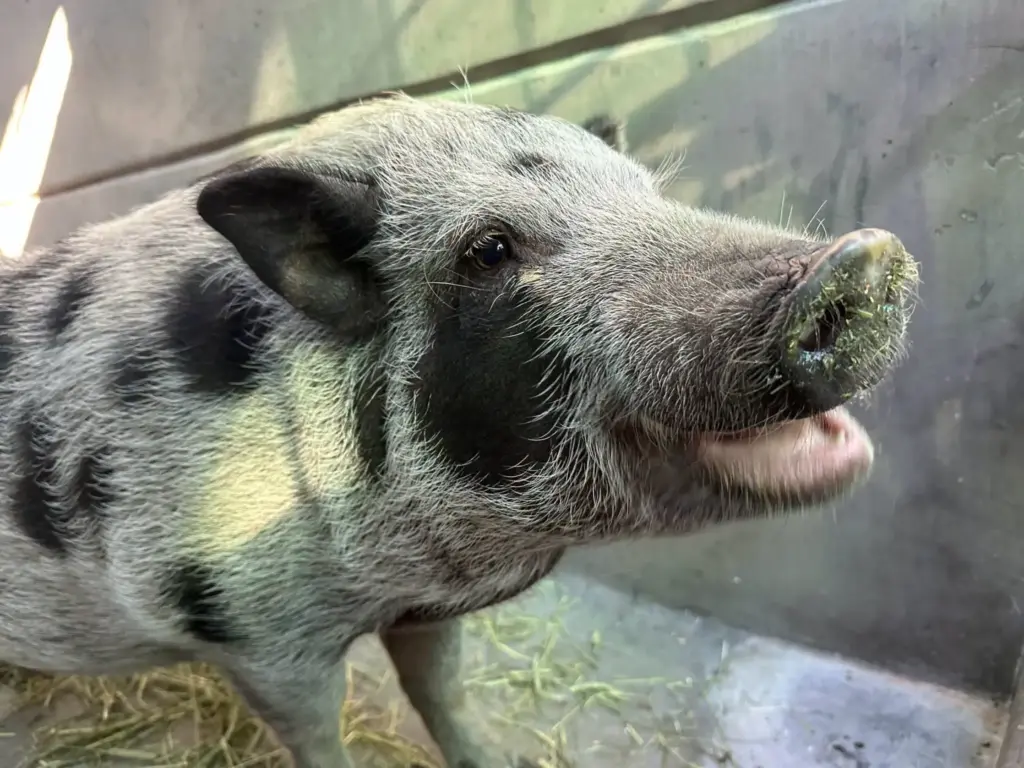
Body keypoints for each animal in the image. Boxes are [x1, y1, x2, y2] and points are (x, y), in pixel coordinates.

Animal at [0, 93, 919, 768]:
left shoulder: (424, 612)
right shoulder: (252, 633)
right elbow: (319, 738)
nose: (859, 262)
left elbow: (444, 697)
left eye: (648, 194)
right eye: (489, 251)